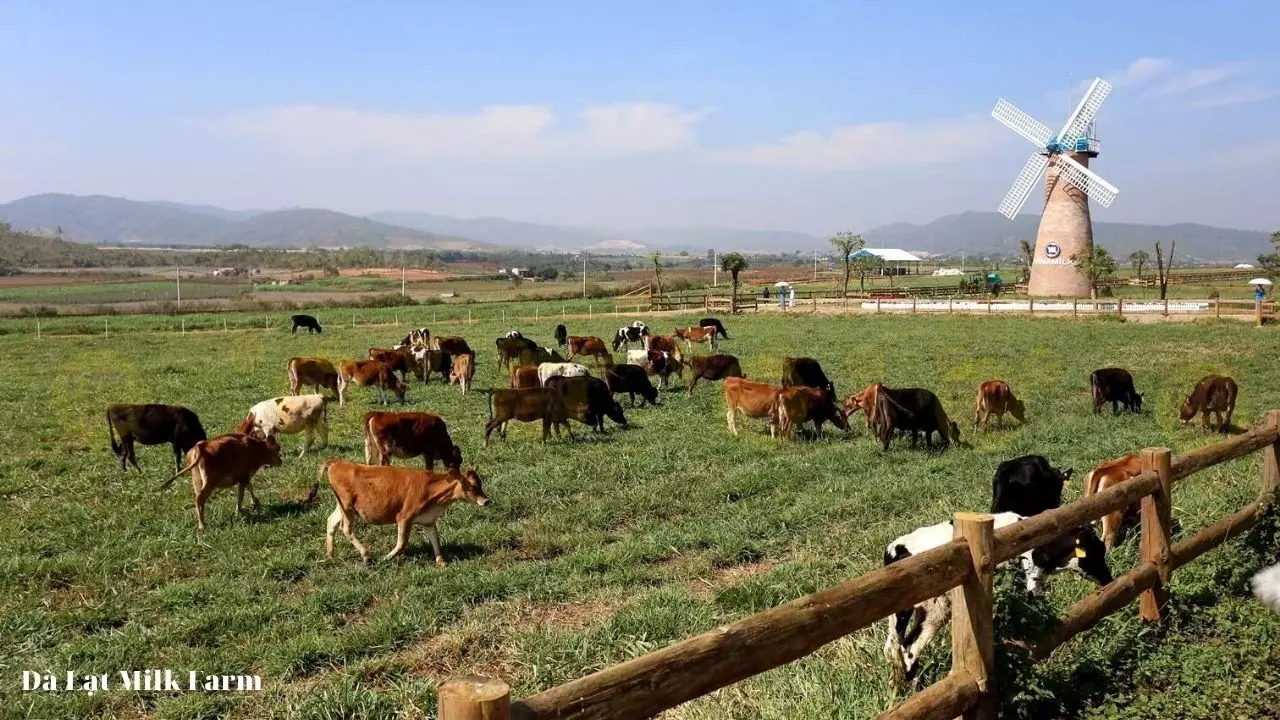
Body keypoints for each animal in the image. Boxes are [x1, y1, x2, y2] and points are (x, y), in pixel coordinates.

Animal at [318, 456, 488, 563]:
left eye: (480, 483)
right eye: (473, 486)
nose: (487, 501)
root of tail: (337, 462)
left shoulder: (428, 520)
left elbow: (435, 540)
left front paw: (441, 562)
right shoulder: (405, 517)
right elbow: (402, 543)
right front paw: (386, 558)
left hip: (342, 506)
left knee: (331, 522)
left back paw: (329, 554)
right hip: (347, 505)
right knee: (346, 528)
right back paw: (366, 556)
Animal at [880, 507, 1111, 681]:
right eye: (1096, 552)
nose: (1109, 579)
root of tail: (895, 548)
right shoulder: (1027, 585)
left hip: (934, 610)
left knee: (907, 648)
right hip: (907, 610)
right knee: (895, 649)